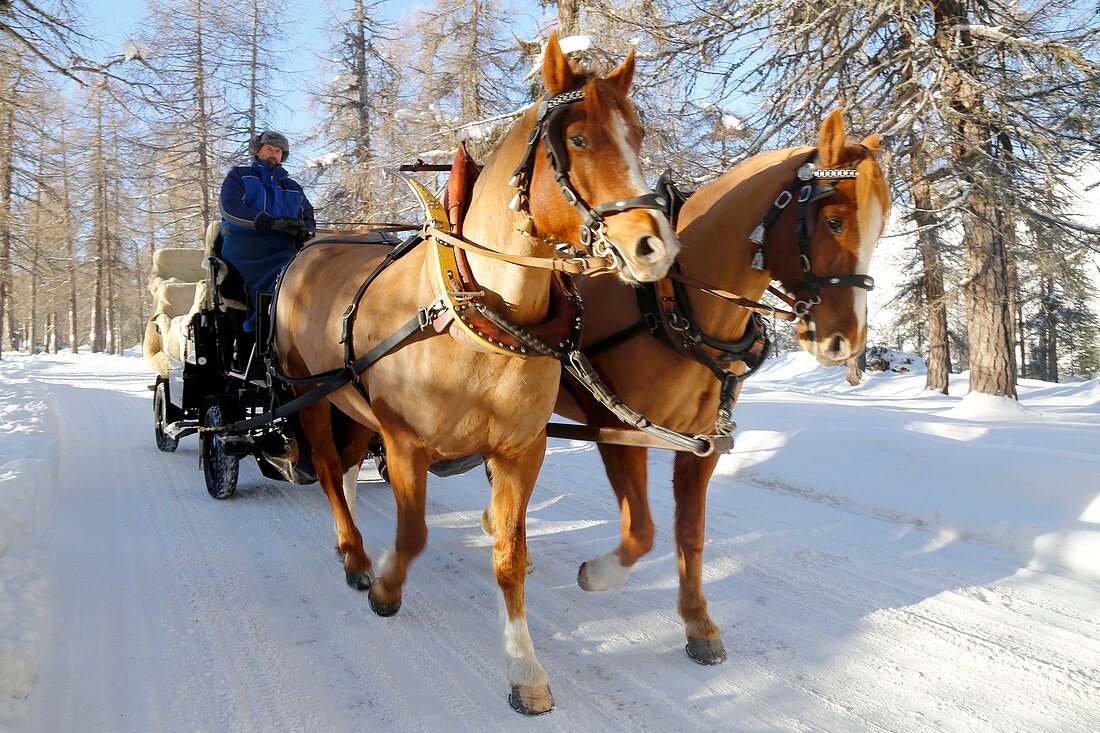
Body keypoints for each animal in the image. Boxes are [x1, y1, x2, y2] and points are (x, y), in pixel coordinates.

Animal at [272, 35, 677, 713]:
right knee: (327, 469)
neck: (478, 316)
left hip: (351, 399)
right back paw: (354, 554)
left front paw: (524, 669)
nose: (655, 246)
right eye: (579, 139)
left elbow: (509, 554)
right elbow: (412, 535)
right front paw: (386, 585)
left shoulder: (520, 450)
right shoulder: (405, 441)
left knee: (347, 468)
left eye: (638, 134)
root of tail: (312, 246)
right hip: (309, 393)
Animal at [554, 110, 888, 660]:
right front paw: (598, 573)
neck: (672, 307)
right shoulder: (620, 429)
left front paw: (698, 622)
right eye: (835, 220)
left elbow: (690, 533)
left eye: (881, 229)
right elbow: (641, 530)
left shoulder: (703, 442)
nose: (846, 342)